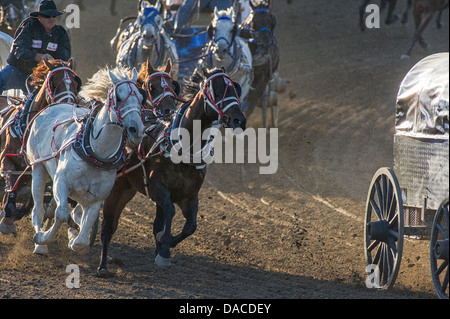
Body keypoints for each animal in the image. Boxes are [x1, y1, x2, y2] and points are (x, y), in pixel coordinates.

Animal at [0, 58, 80, 235]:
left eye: (75, 83)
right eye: (53, 81)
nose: (68, 106)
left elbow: (34, 196)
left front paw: (20, 212)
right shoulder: (7, 160)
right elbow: (11, 183)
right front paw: (7, 219)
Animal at [25, 67, 144, 255]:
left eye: (141, 98)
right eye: (118, 97)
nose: (136, 130)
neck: (96, 153)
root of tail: (53, 106)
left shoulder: (96, 199)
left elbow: (82, 236)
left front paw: (76, 239)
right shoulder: (61, 182)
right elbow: (61, 213)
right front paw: (44, 237)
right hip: (38, 168)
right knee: (38, 210)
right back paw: (40, 244)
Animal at [98, 67, 246, 278]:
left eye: (235, 88)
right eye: (216, 91)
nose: (239, 119)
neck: (183, 148)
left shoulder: (189, 195)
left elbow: (190, 226)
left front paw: (164, 245)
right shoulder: (157, 187)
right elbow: (170, 211)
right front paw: (164, 251)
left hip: (129, 188)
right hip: (117, 187)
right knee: (108, 226)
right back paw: (102, 265)